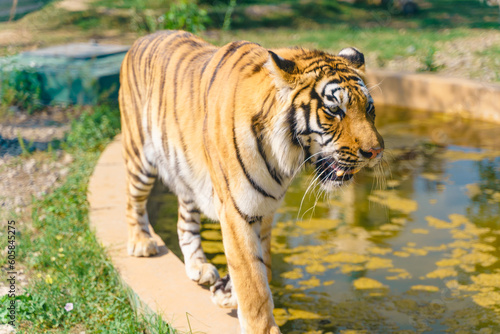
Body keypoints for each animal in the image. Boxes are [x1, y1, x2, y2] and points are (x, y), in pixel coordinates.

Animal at [119, 29, 384, 334]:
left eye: (369, 109)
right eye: (334, 110)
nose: (376, 151)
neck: (283, 158)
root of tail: (142, 38)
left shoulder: (265, 208)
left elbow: (264, 266)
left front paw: (225, 292)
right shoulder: (236, 210)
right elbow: (252, 281)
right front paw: (260, 325)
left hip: (187, 174)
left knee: (185, 220)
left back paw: (198, 267)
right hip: (140, 156)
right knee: (133, 201)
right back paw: (141, 242)